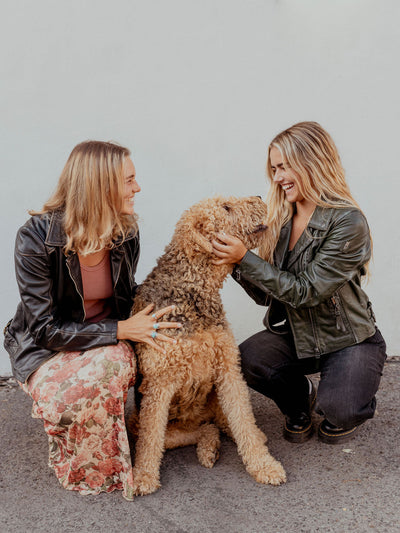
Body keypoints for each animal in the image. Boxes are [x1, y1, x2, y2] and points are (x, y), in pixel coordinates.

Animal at [130, 195, 284, 494]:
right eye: (226, 208)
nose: (259, 198)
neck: (194, 289)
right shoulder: (159, 384)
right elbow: (150, 441)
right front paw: (143, 477)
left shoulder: (228, 370)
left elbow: (243, 421)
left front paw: (264, 465)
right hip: (145, 422)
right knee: (188, 433)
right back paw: (208, 448)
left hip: (215, 402)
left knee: (227, 424)